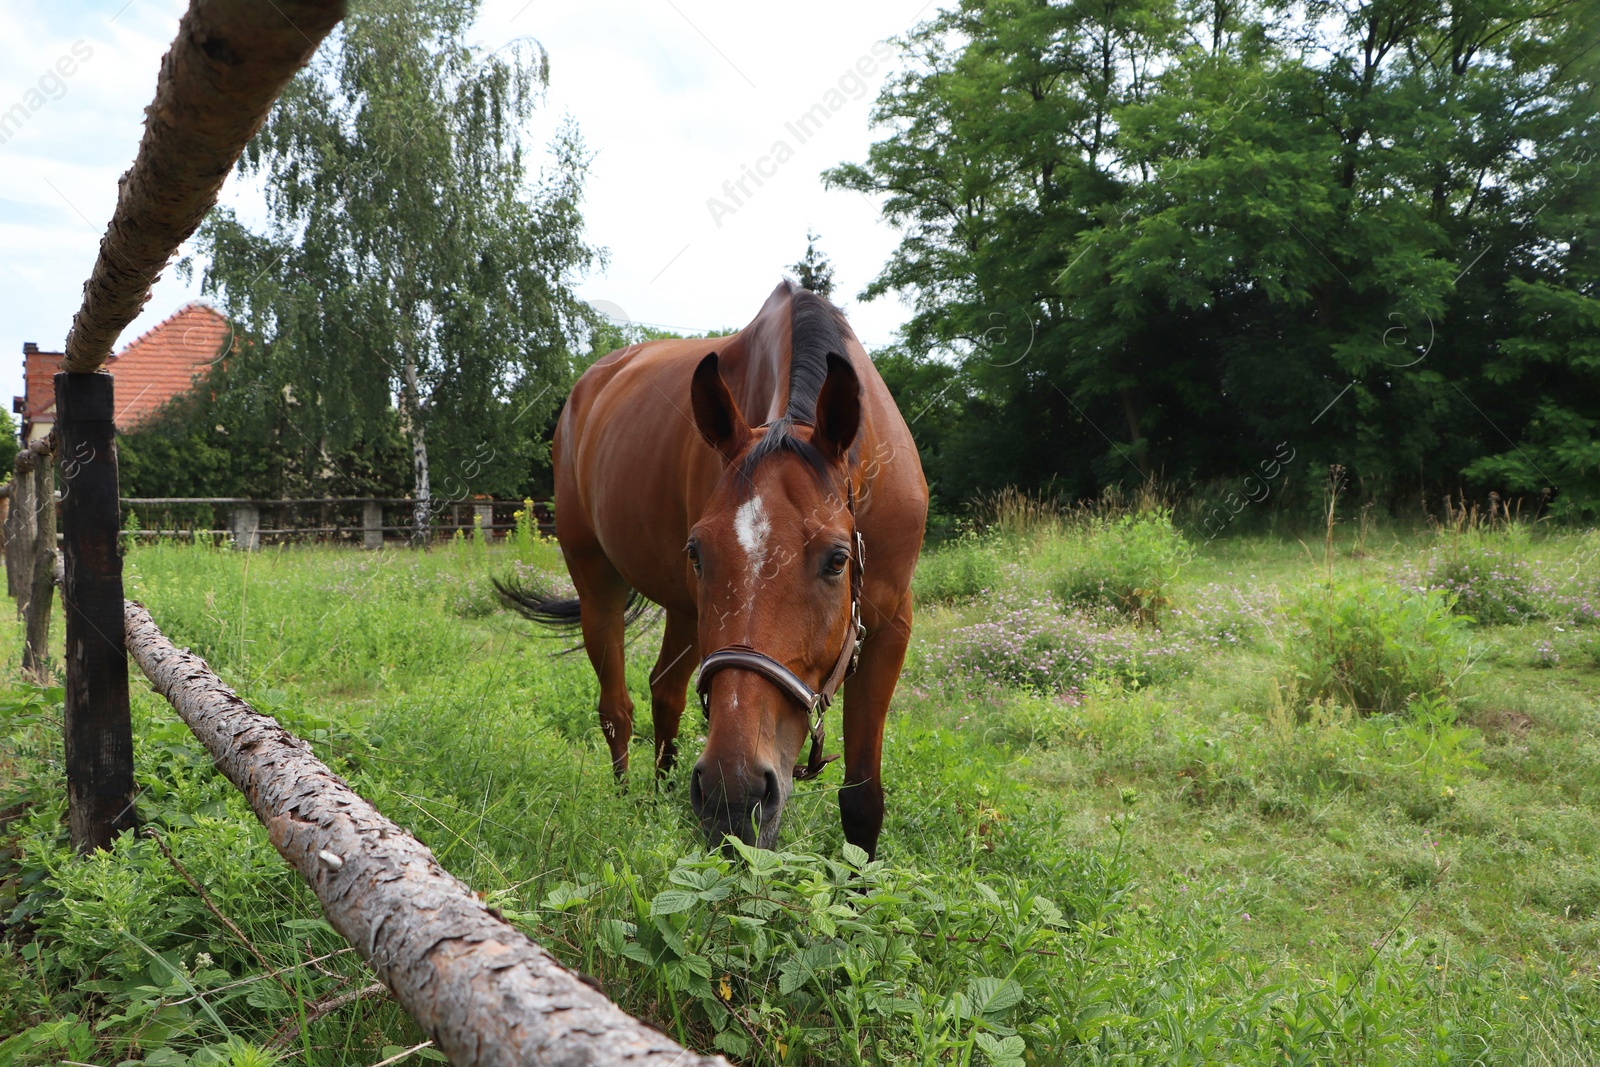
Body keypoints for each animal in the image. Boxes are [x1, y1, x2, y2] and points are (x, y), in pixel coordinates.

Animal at [496, 278, 928, 857]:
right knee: (617, 709)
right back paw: (628, 800)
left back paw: (662, 794)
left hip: (684, 612)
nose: (735, 792)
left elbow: (862, 801)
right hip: (597, 582)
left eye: (838, 560)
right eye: (698, 552)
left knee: (665, 693)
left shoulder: (889, 627)